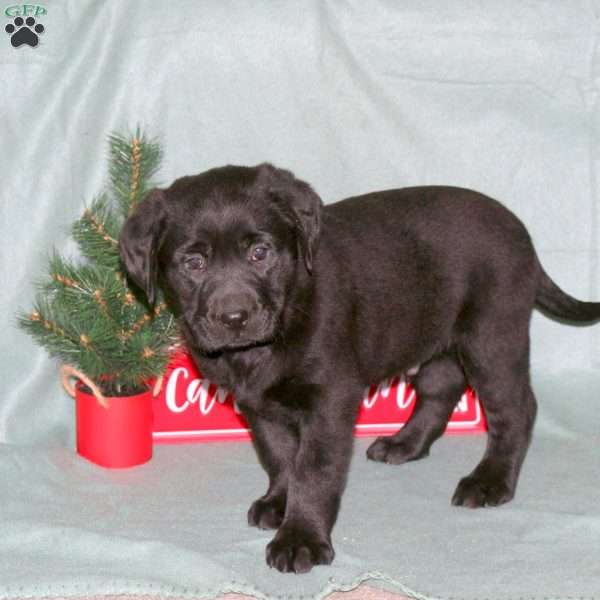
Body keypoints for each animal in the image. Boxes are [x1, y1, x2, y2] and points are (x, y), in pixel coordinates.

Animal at [119, 163, 596, 572]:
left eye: (260, 252)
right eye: (193, 263)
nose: (234, 317)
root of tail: (522, 233)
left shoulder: (330, 400)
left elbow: (314, 470)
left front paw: (301, 539)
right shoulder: (260, 406)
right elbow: (279, 457)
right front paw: (279, 503)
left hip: (492, 336)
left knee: (515, 410)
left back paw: (490, 482)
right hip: (436, 335)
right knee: (441, 387)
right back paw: (405, 444)